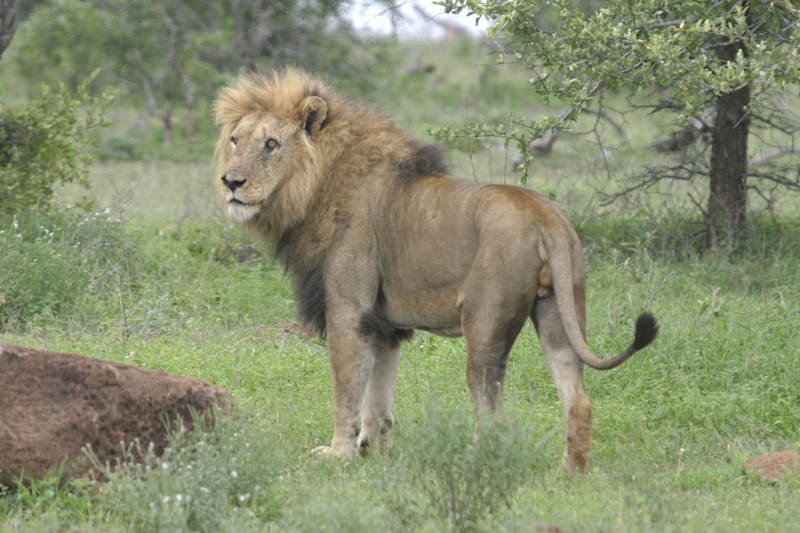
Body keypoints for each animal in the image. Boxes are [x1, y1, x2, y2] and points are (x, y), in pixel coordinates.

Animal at [212, 68, 656, 472]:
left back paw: (471, 465)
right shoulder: (383, 326)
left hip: (485, 327)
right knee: (578, 401)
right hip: (559, 316)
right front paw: (374, 451)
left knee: (491, 414)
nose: (230, 182)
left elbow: (347, 392)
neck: (311, 188)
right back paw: (570, 474)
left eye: (271, 145)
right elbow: (378, 398)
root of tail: (546, 217)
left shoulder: (348, 312)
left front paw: (338, 453)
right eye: (235, 141)